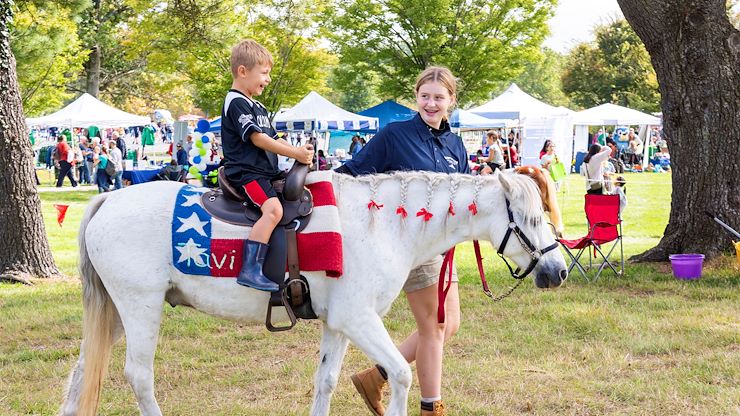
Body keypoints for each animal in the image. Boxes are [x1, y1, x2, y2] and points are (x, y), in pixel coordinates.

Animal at [59, 170, 568, 416]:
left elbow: (326, 381)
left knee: (83, 373)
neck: (380, 223)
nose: (558, 271)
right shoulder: (359, 321)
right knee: (139, 377)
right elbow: (401, 374)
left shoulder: (338, 325)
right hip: (140, 308)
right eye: (533, 218)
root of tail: (108, 198)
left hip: (116, 314)